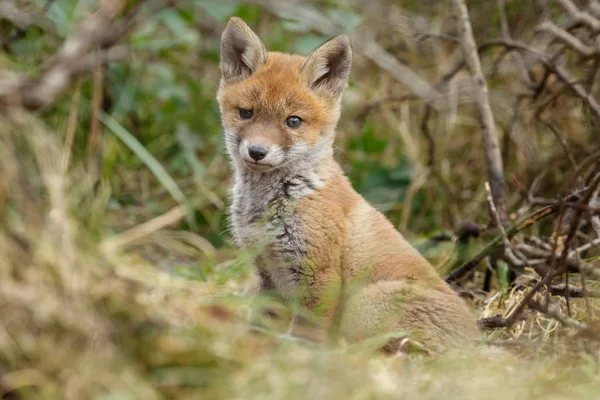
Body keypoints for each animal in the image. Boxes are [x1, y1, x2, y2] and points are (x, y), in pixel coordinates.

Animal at [218, 15, 480, 354]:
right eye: (246, 113)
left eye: (293, 121)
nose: (257, 152)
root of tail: (479, 341)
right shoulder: (265, 269)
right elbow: (260, 322)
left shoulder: (318, 272)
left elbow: (308, 332)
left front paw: (299, 355)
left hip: (364, 305)